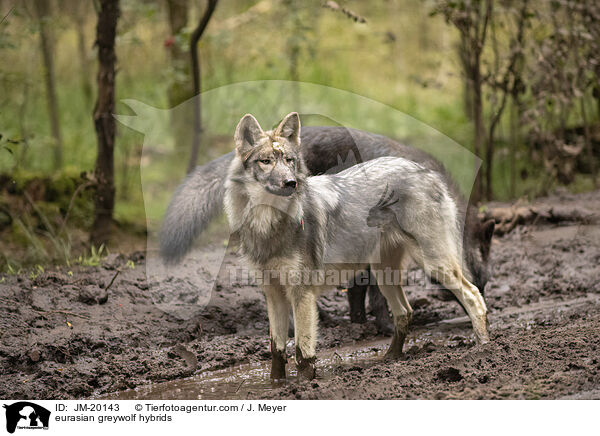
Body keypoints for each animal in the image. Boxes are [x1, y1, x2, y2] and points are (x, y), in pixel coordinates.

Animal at [223, 114, 490, 380]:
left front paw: (304, 385)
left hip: (433, 265)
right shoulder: (274, 294)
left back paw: (483, 348)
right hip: (384, 276)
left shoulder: (302, 294)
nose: (291, 183)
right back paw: (390, 359)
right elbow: (276, 351)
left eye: (289, 161)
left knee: (473, 296)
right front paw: (277, 385)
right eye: (266, 161)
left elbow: (303, 354)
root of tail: (428, 172)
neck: (269, 225)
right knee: (405, 312)